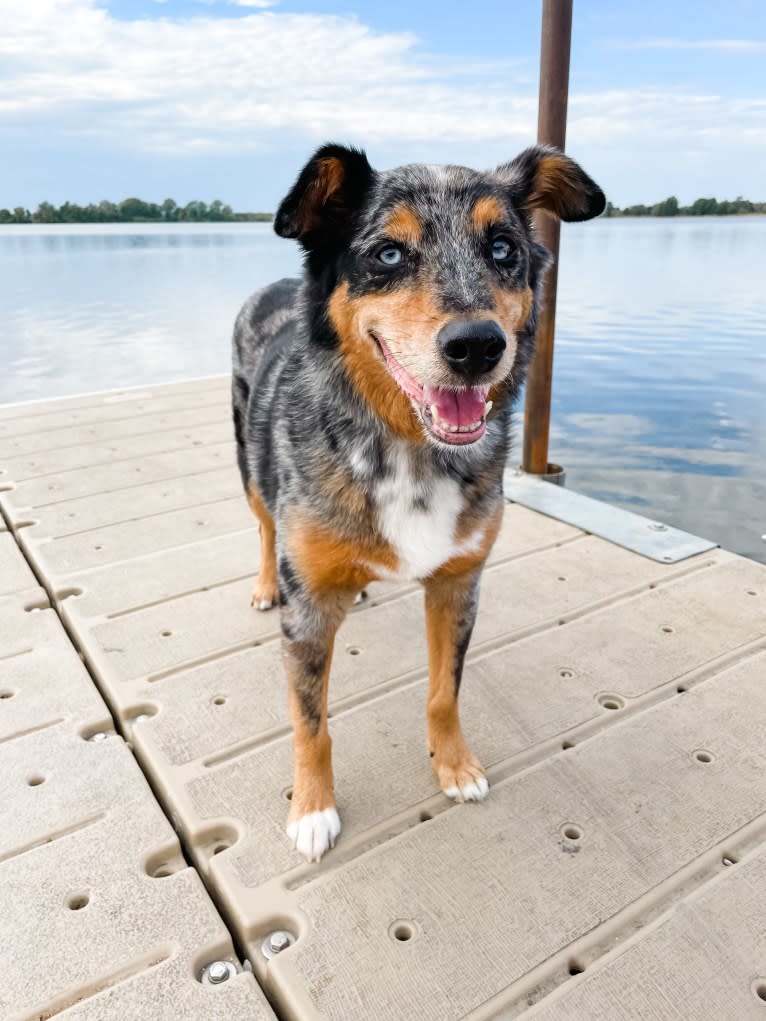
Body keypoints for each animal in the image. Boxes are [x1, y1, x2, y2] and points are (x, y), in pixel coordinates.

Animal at [230, 143, 604, 861]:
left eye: (503, 247)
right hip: (247, 466)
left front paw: (454, 765)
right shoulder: (306, 616)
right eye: (388, 253)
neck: (407, 448)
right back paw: (263, 584)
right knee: (262, 527)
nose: (477, 345)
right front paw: (312, 808)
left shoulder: (459, 583)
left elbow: (443, 693)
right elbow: (311, 722)